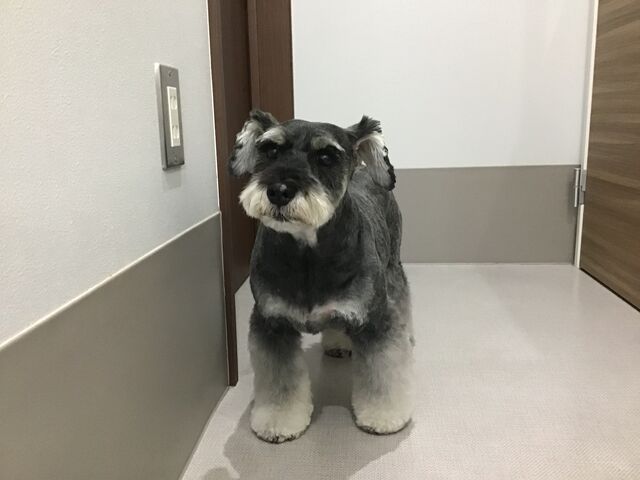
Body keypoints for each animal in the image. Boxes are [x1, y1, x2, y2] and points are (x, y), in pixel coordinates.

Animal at [229, 110, 413, 443]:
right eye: (270, 150)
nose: (278, 191)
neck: (308, 254)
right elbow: (280, 382)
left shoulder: (376, 319)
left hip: (394, 269)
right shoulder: (271, 323)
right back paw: (339, 342)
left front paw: (384, 416)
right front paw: (279, 421)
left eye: (326, 156)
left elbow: (383, 372)